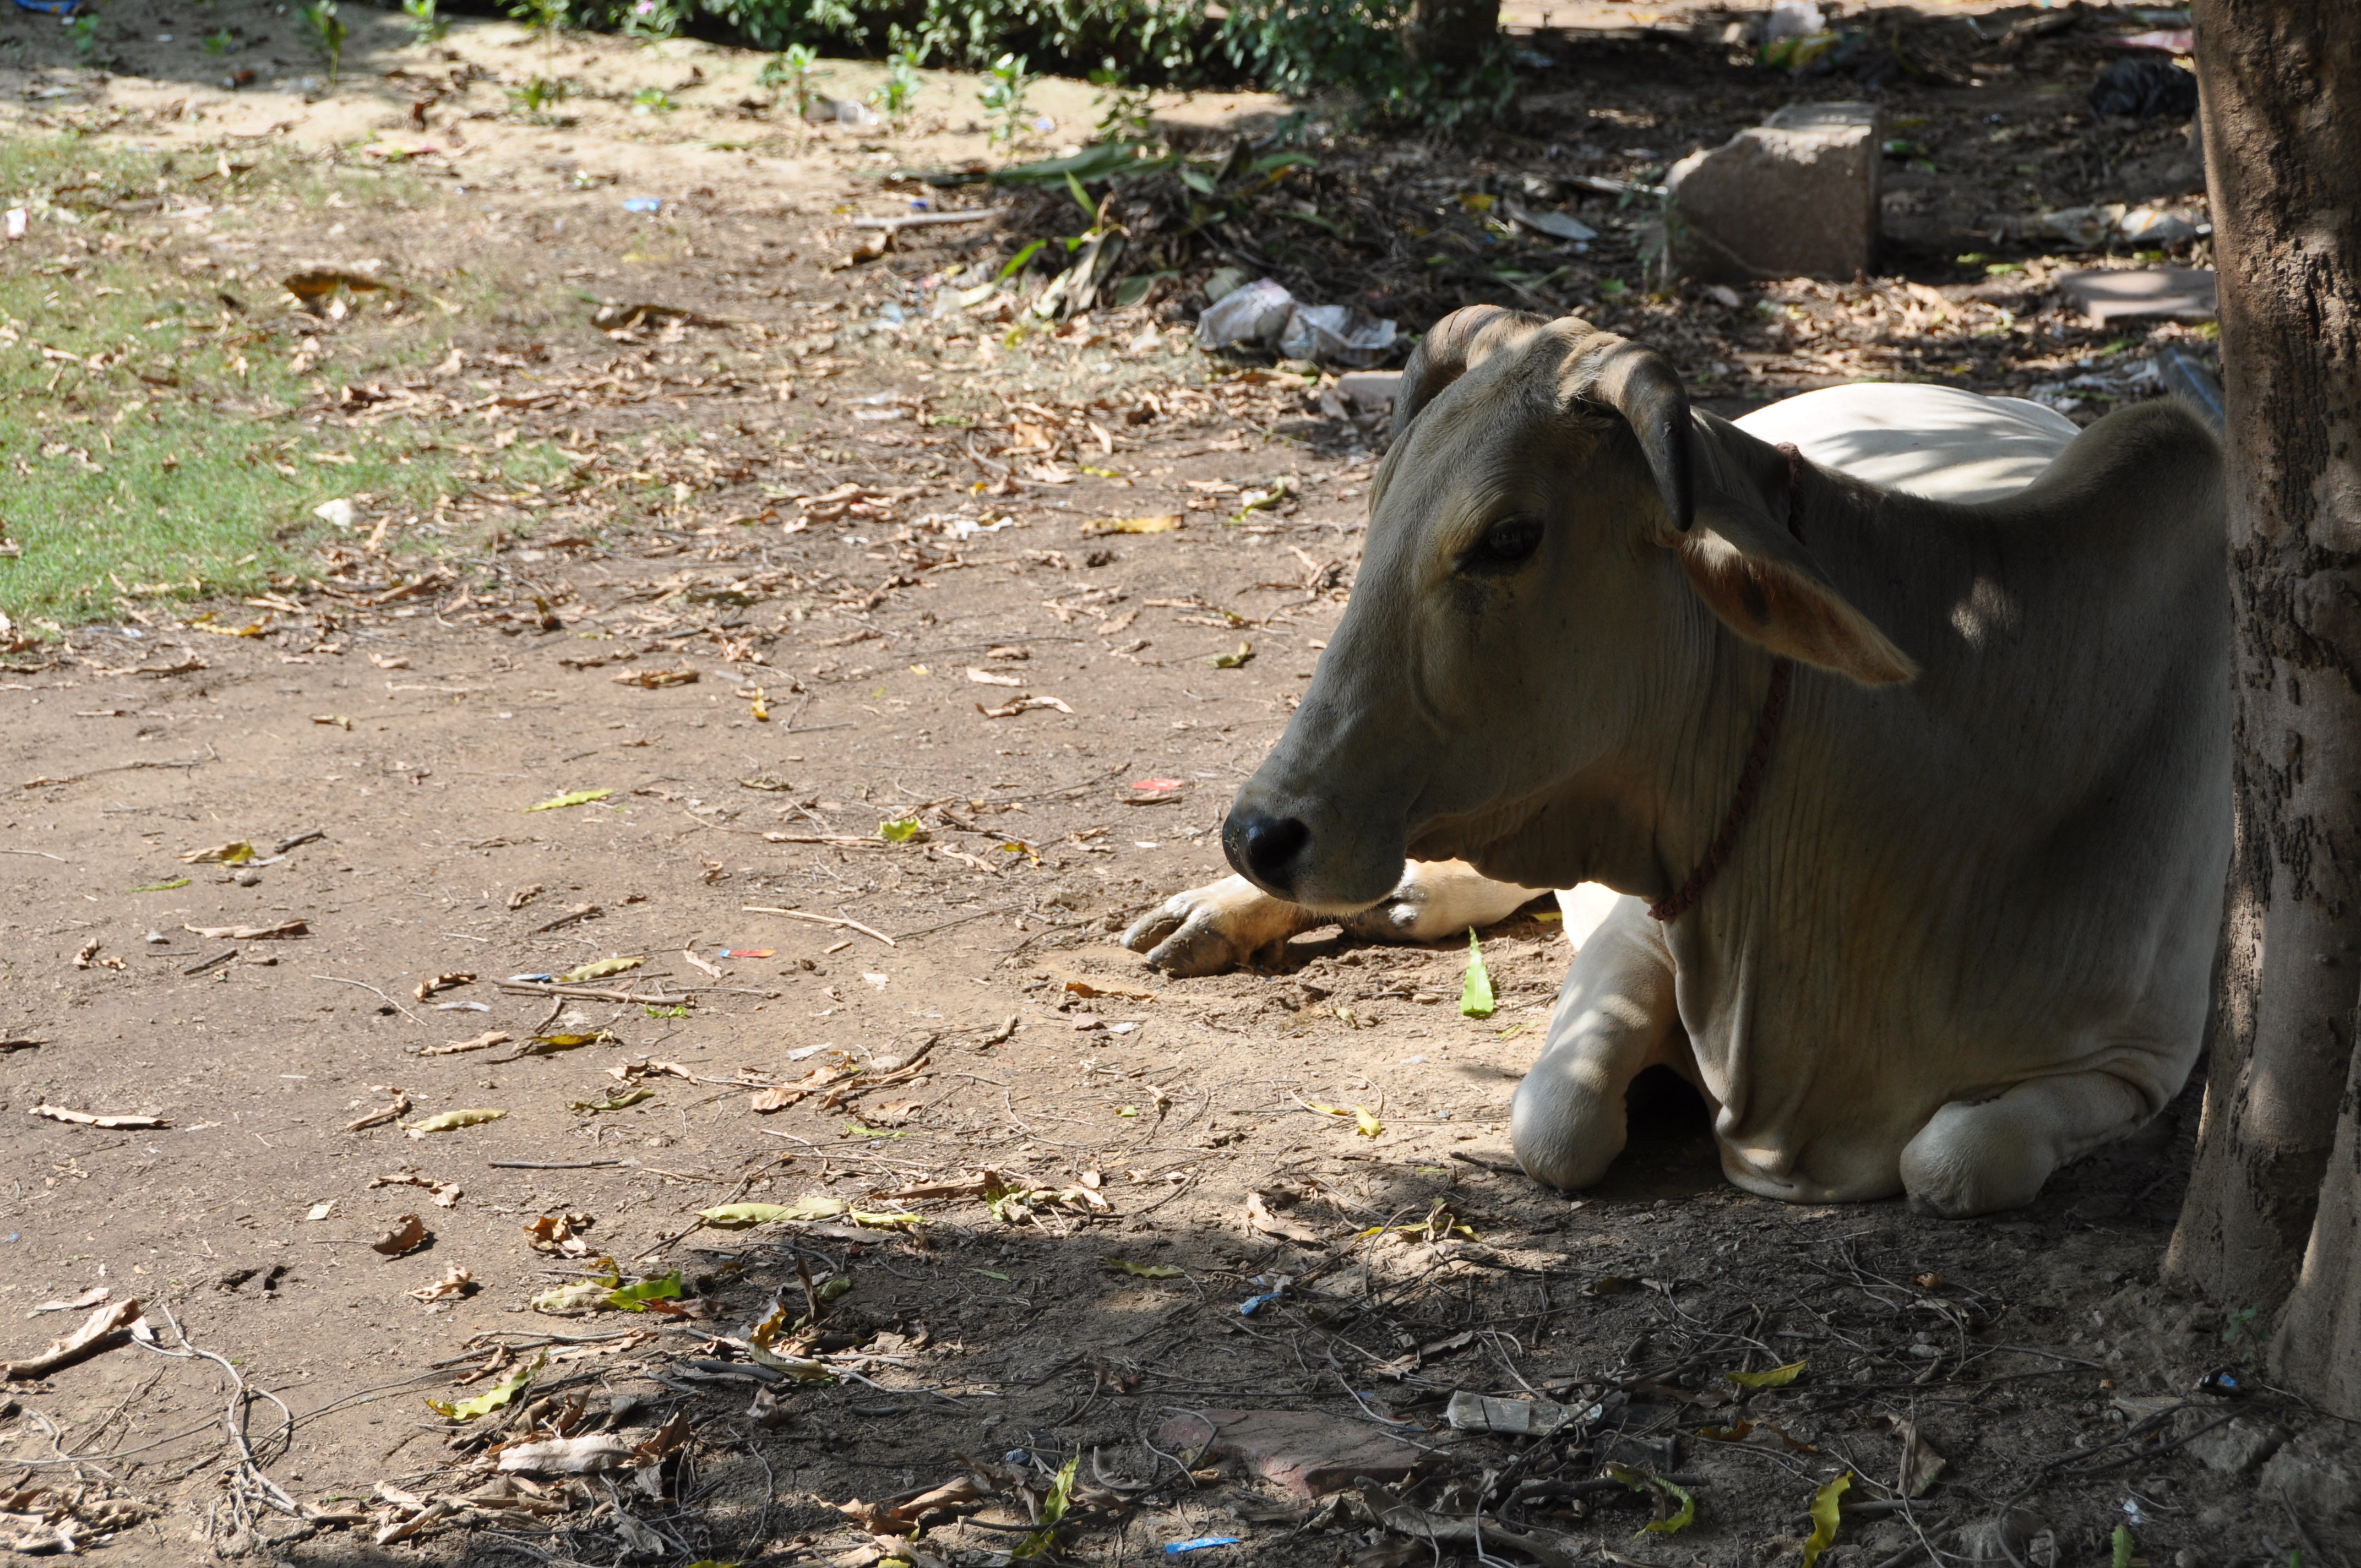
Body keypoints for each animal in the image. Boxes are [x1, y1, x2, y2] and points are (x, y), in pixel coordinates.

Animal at [1124, 307, 2228, 1209]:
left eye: (1509, 538)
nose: (1260, 834)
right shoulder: (1649, 925)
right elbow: (1556, 1126)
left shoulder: (2146, 1061)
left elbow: (1955, 1160)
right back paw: (1221, 914)